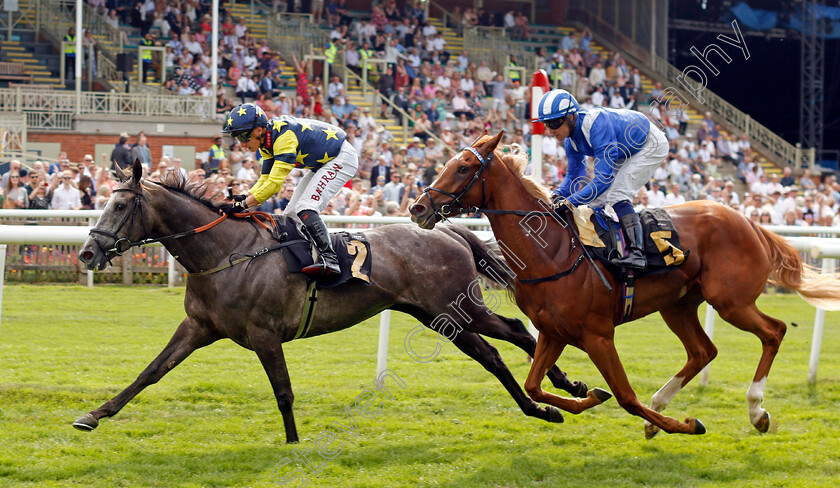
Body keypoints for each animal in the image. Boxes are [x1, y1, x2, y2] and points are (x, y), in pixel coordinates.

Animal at [75, 160, 584, 442]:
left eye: (121, 206)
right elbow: (150, 372)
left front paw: (293, 442)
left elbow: (283, 392)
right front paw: (94, 416)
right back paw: (548, 403)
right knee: (499, 348)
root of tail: (449, 230)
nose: (87, 253)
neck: (226, 254)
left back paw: (558, 392)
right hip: (438, 315)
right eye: (104, 201)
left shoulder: (264, 335)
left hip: (455, 308)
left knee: (512, 335)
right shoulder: (198, 328)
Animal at [412, 132, 840, 436]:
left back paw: (755, 410)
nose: (418, 207)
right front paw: (588, 395)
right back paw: (662, 409)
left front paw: (687, 425)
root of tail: (748, 220)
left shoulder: (598, 335)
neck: (552, 252)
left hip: (730, 300)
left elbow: (627, 397)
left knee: (774, 331)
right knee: (703, 351)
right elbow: (535, 385)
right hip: (678, 304)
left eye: (464, 168)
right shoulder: (553, 332)